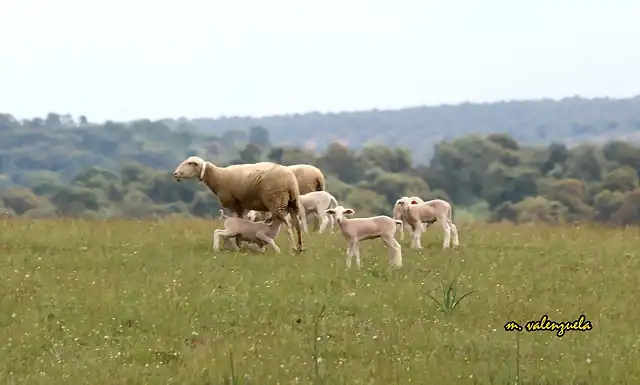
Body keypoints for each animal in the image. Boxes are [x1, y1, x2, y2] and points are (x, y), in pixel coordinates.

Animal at [174, 156, 306, 252]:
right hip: (292, 202)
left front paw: (235, 245)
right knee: (297, 224)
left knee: (287, 225)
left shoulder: (233, 204)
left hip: (276, 201)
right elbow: (240, 221)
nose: (175, 174)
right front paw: (239, 243)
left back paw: (292, 247)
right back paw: (300, 248)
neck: (217, 176)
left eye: (189, 163)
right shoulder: (240, 206)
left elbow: (236, 221)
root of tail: (290, 179)